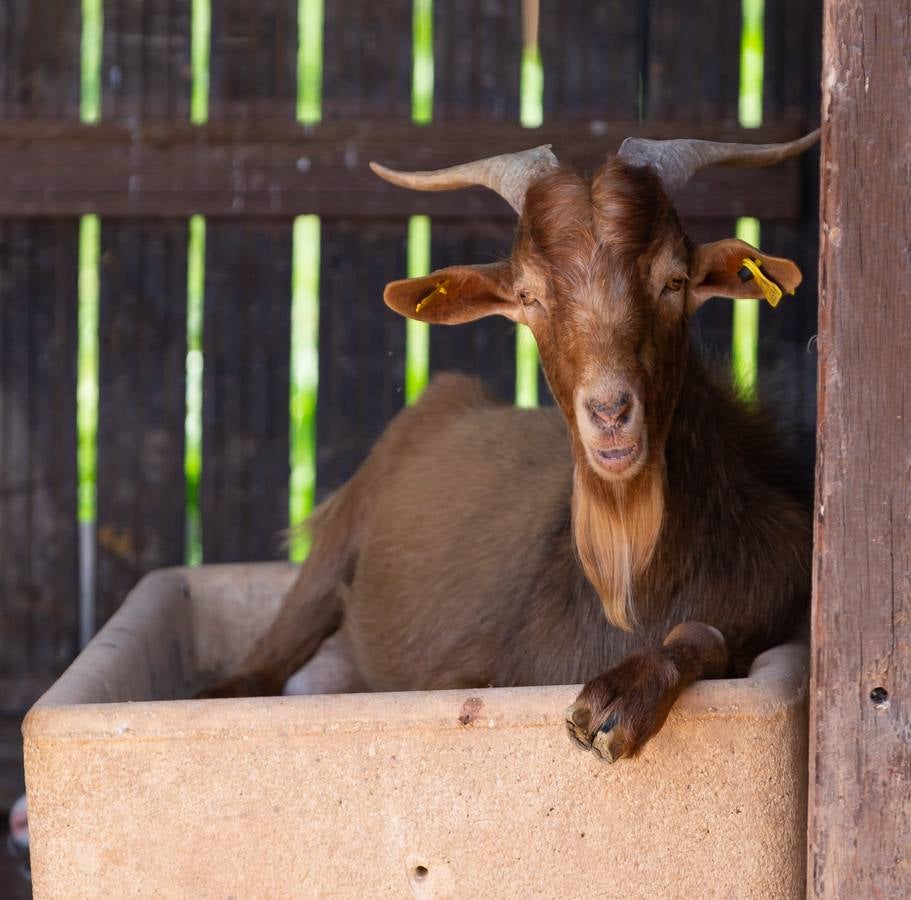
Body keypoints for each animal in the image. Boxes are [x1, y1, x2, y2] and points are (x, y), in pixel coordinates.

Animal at [201, 134, 820, 764]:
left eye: (673, 280)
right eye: (529, 295)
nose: (610, 412)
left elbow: (705, 634)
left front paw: (618, 701)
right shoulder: (461, 672)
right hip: (333, 551)